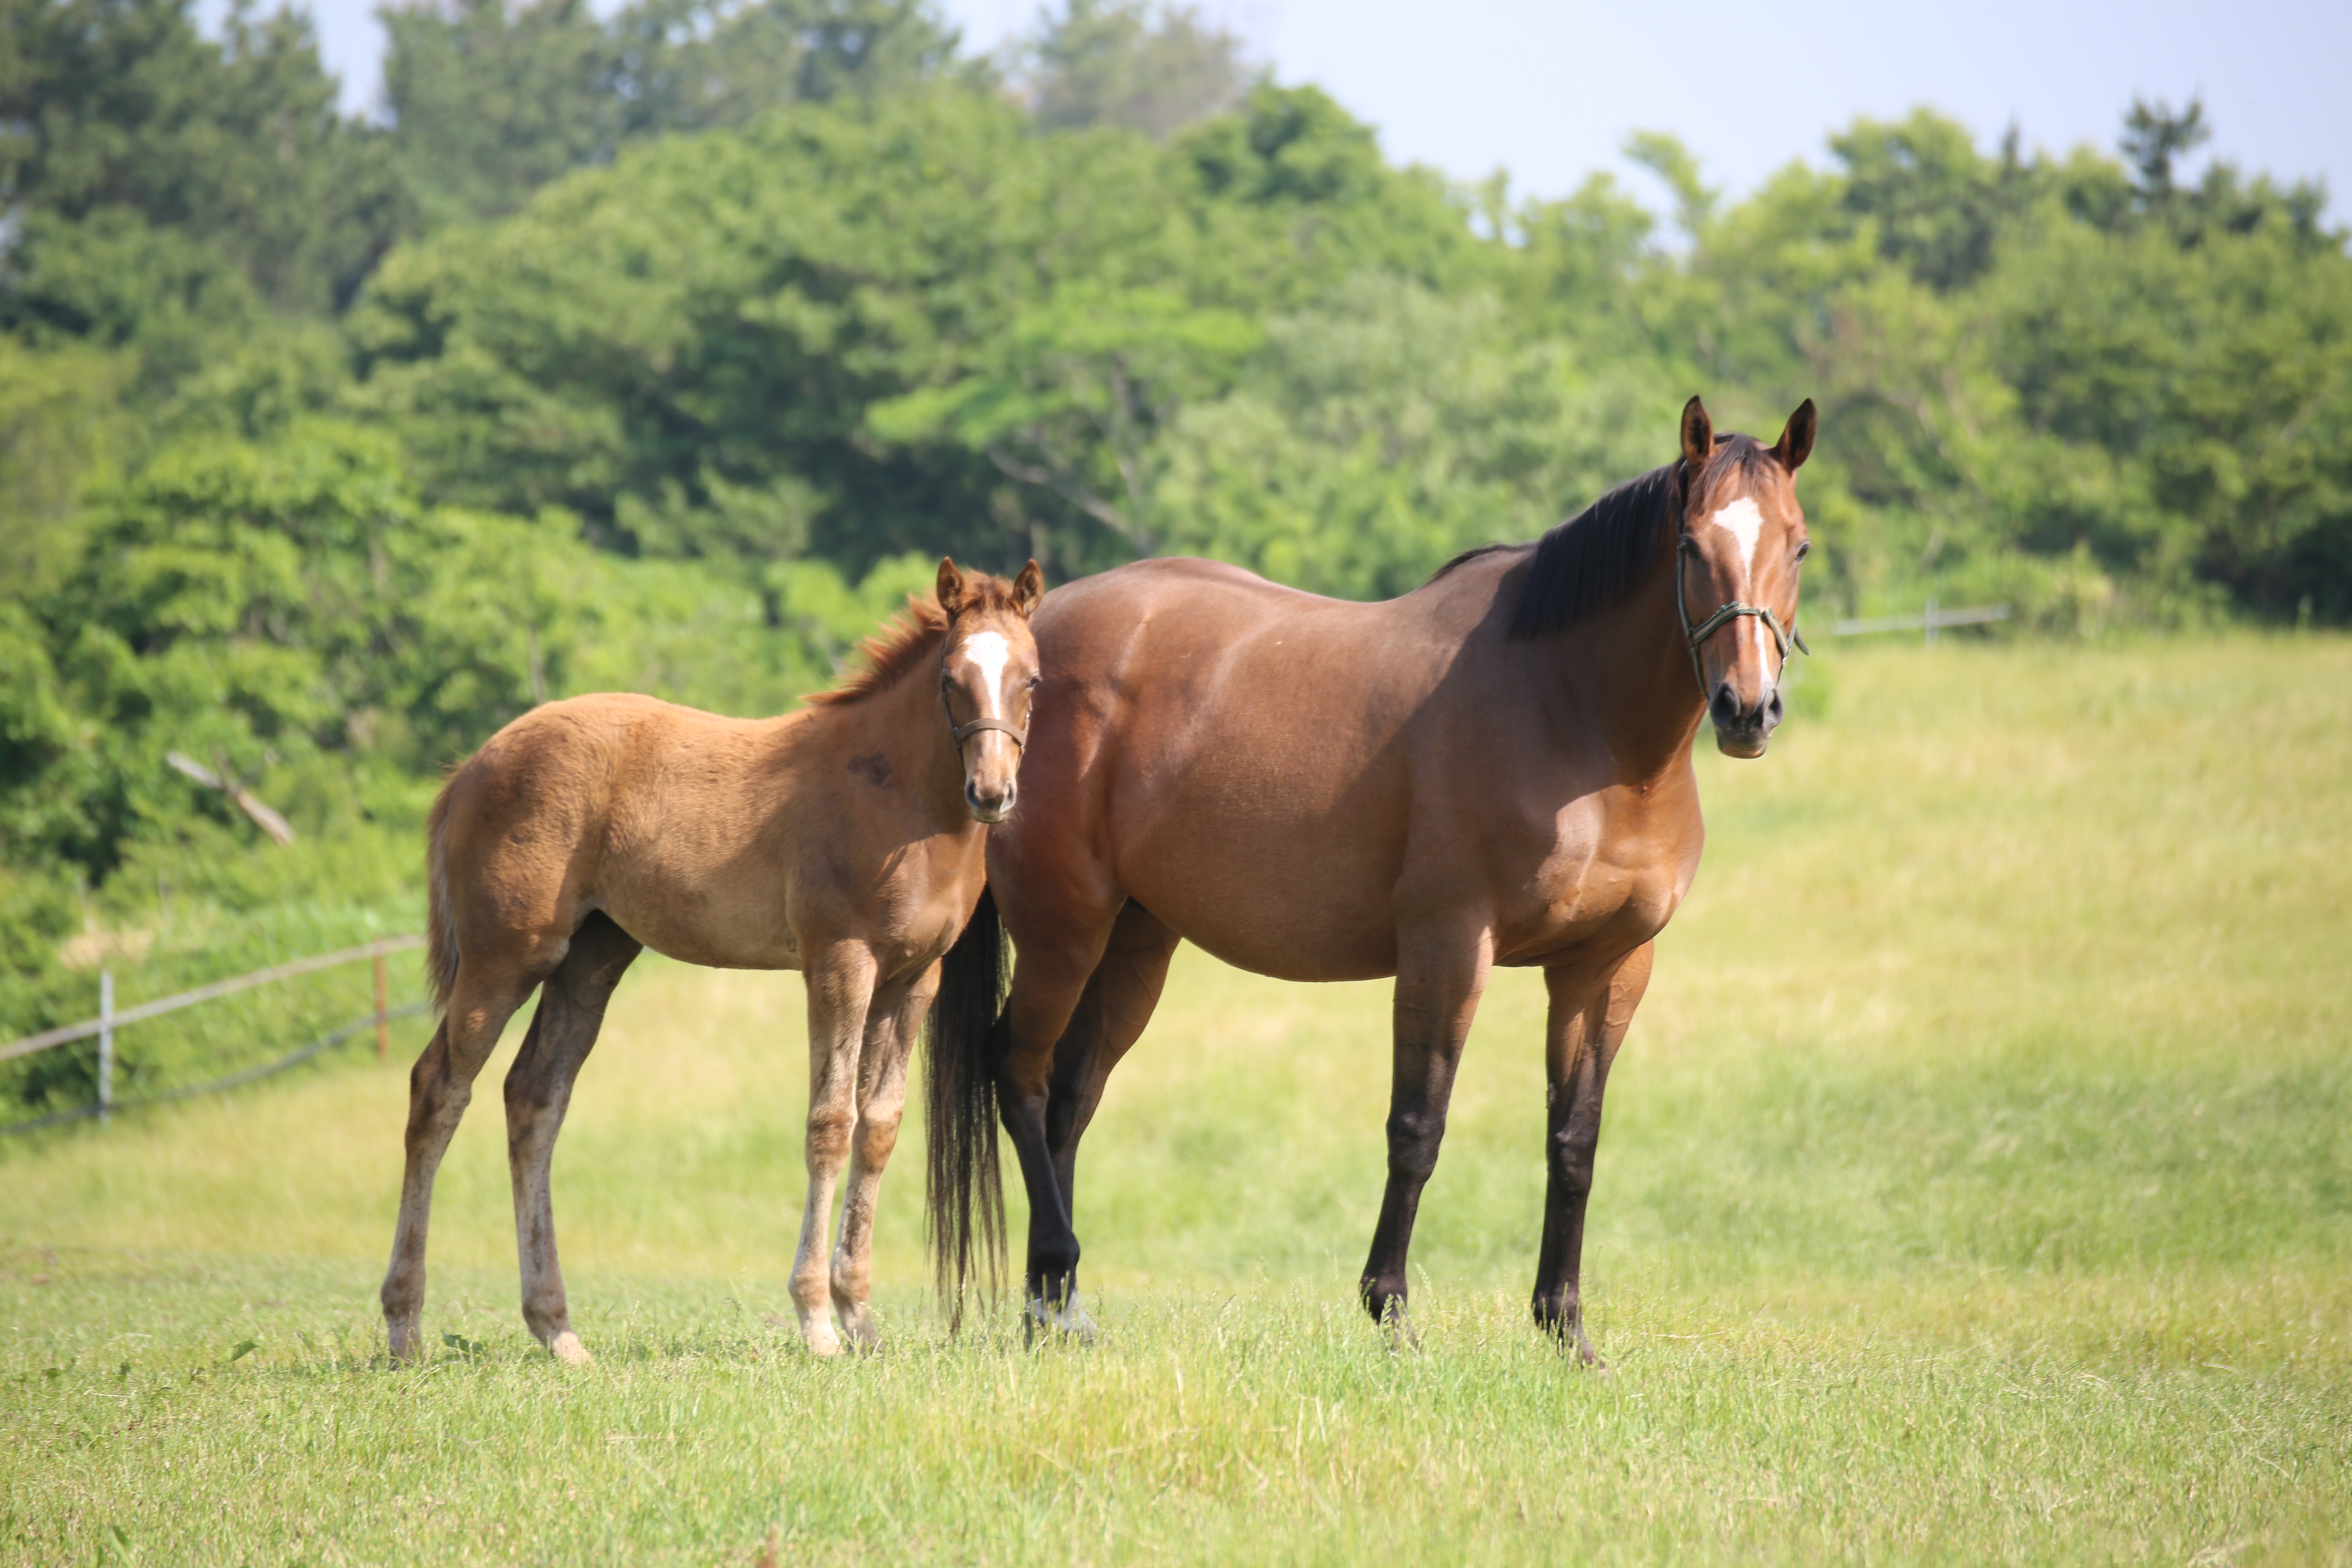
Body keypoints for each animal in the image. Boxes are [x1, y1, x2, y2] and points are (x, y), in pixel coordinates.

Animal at [381, 561, 1044, 1363]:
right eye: (951, 679)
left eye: (1032, 679)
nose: (993, 793)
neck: (896, 794)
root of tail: (473, 765)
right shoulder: (839, 961)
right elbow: (831, 1122)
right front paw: (817, 1321)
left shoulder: (917, 977)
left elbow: (880, 1128)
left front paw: (861, 1318)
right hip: (505, 956)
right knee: (438, 1090)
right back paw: (404, 1327)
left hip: (592, 958)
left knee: (534, 1098)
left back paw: (558, 1330)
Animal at [936, 395, 1815, 1363]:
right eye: (1691, 546)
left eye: (1799, 546)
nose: (1747, 709)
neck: (1576, 717)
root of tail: (1023, 649)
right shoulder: (1448, 948)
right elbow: (1418, 1126)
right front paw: (1391, 1313)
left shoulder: (1609, 965)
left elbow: (1574, 1139)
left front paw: (1565, 1327)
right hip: (1064, 930)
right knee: (1017, 1073)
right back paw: (1053, 1283)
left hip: (1134, 943)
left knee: (1068, 1098)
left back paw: (1056, 1307)